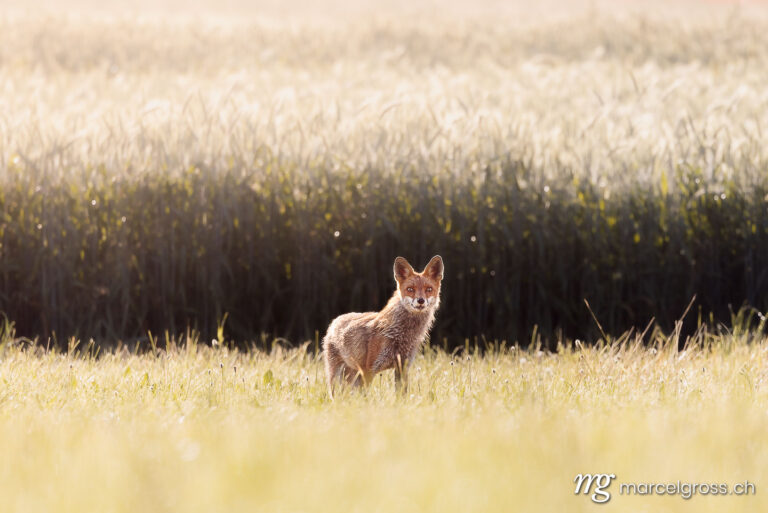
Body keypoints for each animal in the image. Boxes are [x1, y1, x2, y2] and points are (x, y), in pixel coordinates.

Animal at [322, 255, 444, 396]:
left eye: (429, 289)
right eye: (410, 289)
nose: (420, 301)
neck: (402, 333)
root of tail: (335, 321)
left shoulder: (402, 368)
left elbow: (401, 396)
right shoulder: (369, 369)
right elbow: (365, 397)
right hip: (339, 376)